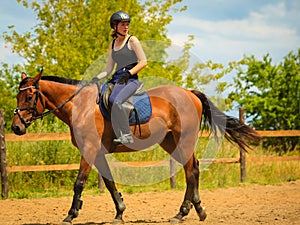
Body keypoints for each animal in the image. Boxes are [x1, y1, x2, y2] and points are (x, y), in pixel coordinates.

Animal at [11, 69, 260, 224]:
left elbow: (79, 182)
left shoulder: (89, 150)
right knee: (193, 168)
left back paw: (185, 212)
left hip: (184, 139)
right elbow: (109, 183)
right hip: (170, 142)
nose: (16, 127)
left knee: (192, 171)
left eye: (30, 96)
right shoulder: (98, 153)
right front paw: (119, 213)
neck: (80, 106)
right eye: (17, 97)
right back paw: (193, 210)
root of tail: (190, 94)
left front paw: (71, 215)